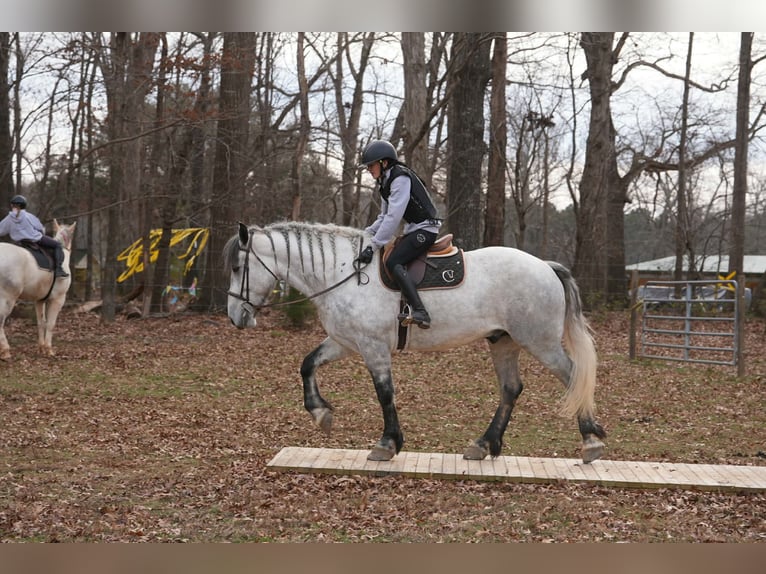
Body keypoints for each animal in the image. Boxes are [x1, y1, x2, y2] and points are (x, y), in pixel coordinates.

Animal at [0, 220, 76, 361]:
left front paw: (41, 348)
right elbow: (51, 324)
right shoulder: (58, 299)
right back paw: (6, 351)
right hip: (8, 299)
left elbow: (41, 322)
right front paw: (49, 349)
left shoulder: (39, 300)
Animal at [225, 221, 606, 463]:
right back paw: (484, 444)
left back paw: (590, 441)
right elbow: (307, 364)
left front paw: (387, 443)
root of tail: (545, 265)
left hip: (540, 342)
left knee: (572, 376)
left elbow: (385, 394)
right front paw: (321, 413)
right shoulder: (345, 341)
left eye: (237, 267)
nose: (235, 317)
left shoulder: (373, 347)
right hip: (503, 342)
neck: (343, 272)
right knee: (511, 388)